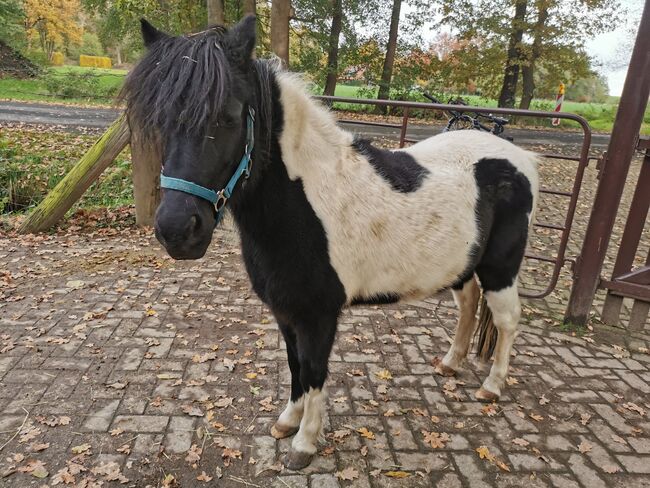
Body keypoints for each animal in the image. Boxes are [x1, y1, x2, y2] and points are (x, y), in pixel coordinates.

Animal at [120, 16, 539, 470]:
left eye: (227, 117)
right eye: (160, 121)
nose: (177, 231)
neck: (307, 202)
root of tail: (521, 159)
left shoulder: (319, 315)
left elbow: (315, 370)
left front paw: (304, 443)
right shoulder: (286, 311)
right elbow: (295, 366)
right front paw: (287, 422)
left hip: (500, 268)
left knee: (507, 319)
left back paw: (492, 387)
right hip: (462, 265)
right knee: (468, 306)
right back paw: (449, 364)